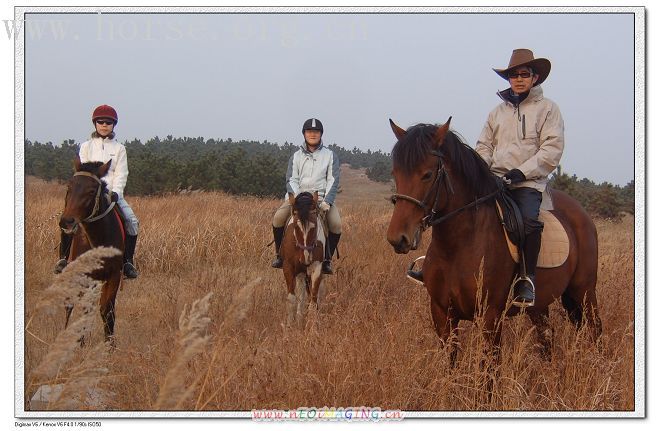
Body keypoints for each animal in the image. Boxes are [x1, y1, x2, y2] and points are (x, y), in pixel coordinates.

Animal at [58, 155, 125, 344]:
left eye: (92, 190)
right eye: (69, 187)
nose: (67, 222)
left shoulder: (114, 275)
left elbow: (107, 311)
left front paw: (109, 346)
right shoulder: (83, 277)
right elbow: (82, 309)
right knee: (71, 306)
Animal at [282, 191, 328, 326]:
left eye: (314, 227)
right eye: (296, 227)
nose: (306, 258)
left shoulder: (317, 268)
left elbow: (313, 299)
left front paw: (312, 326)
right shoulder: (288, 267)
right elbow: (292, 298)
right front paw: (289, 326)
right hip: (301, 272)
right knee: (301, 293)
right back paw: (299, 317)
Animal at [386, 119, 604, 364]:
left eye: (427, 174)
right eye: (395, 172)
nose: (398, 238)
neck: (457, 247)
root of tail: (582, 214)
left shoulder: (490, 316)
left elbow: (490, 367)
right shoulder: (442, 314)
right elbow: (451, 364)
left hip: (584, 292)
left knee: (594, 330)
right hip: (540, 305)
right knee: (547, 336)